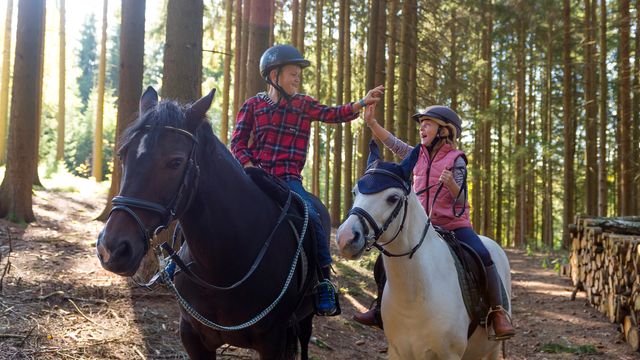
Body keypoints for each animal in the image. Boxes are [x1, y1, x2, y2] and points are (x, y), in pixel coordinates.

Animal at [97, 88, 328, 360]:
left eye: (175, 162)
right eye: (123, 155)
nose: (111, 249)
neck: (222, 269)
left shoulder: (273, 340)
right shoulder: (192, 336)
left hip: (305, 320)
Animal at [336, 142, 510, 358]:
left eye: (393, 198)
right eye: (355, 192)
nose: (346, 238)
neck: (413, 298)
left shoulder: (449, 354)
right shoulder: (397, 351)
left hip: (491, 349)